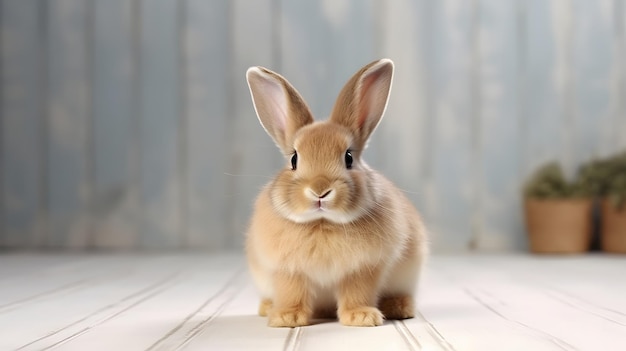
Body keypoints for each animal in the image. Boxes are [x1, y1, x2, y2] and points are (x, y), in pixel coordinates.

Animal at [241, 57, 426, 328]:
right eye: (294, 159)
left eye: (349, 158)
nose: (320, 190)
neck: (323, 223)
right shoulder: (287, 270)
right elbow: (292, 292)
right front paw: (286, 318)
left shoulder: (363, 269)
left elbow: (356, 292)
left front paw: (361, 317)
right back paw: (266, 308)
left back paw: (399, 307)